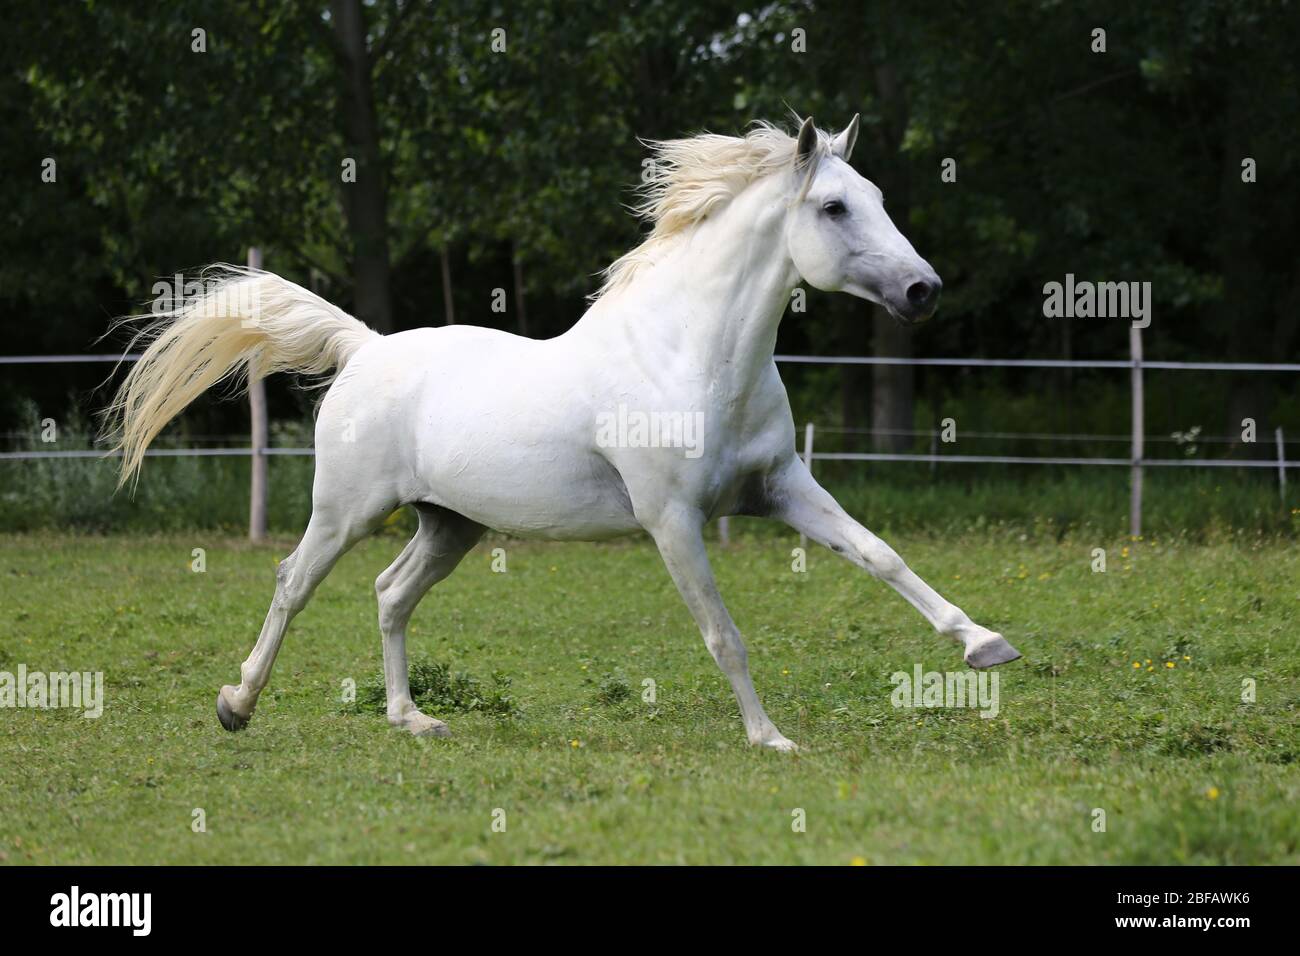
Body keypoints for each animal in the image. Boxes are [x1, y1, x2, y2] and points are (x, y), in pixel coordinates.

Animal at [104, 116, 1020, 751]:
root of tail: (365, 347)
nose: (923, 290)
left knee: (391, 594)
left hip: (451, 524)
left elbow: (880, 555)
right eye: (833, 206)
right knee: (294, 582)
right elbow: (723, 634)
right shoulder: (673, 521)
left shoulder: (783, 487)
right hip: (346, 512)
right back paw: (237, 705)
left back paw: (413, 721)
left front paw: (986, 645)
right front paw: (770, 738)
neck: (687, 355)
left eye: (879, 199)